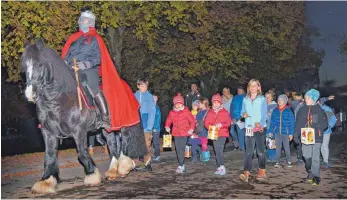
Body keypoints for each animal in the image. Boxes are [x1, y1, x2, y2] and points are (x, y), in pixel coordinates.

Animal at [21, 38, 147, 194]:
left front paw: (92, 174)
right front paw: (46, 181)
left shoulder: (79, 131)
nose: (30, 94)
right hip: (106, 129)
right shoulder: (48, 132)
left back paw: (124, 167)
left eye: (39, 64)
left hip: (124, 124)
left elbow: (81, 153)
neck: (60, 99)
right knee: (112, 143)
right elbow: (50, 156)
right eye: (24, 67)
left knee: (125, 141)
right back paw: (112, 171)